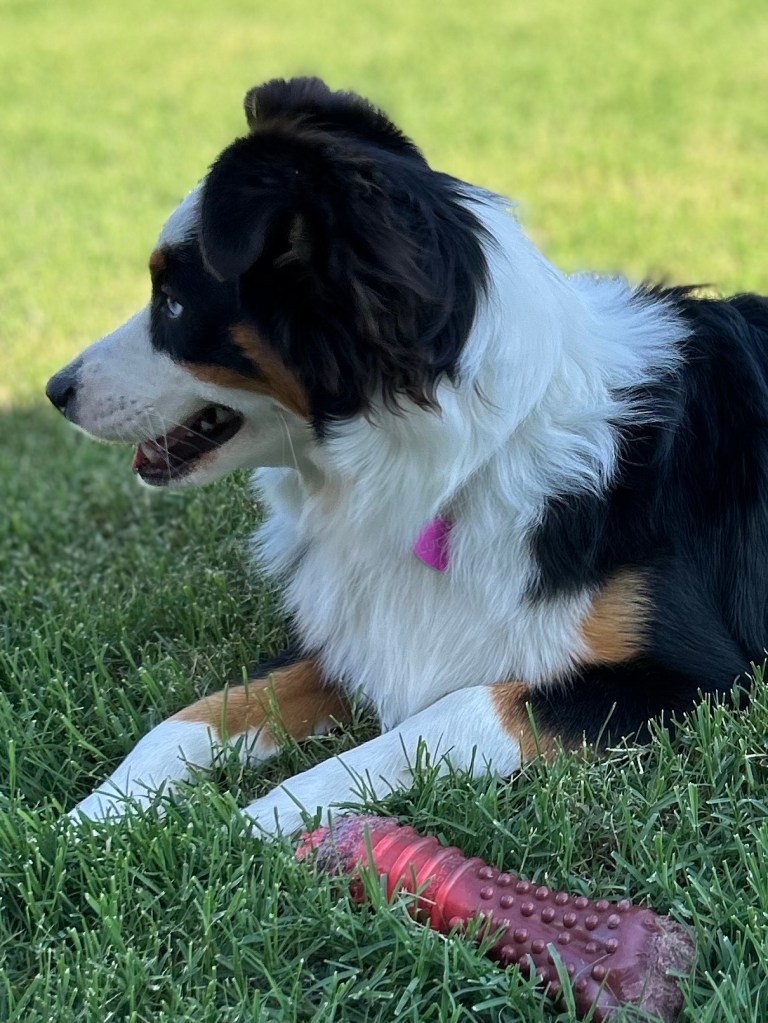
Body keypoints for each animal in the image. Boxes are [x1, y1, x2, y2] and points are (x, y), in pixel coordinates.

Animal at [46, 76, 768, 834]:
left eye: (175, 303)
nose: (55, 389)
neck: (470, 463)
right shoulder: (349, 635)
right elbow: (191, 718)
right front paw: (87, 823)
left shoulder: (696, 679)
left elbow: (450, 714)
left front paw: (254, 826)